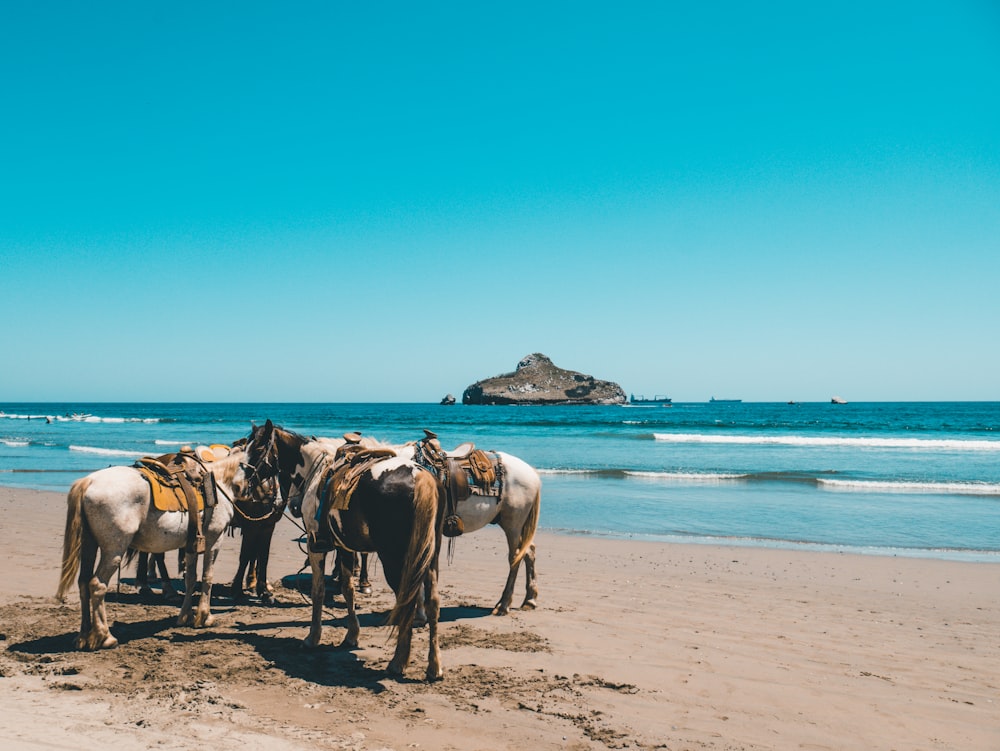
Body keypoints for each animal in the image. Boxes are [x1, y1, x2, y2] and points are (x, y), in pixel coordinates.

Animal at [55, 450, 254, 648]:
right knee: (97, 585)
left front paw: (186, 616)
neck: (218, 483)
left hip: (89, 545)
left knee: (83, 583)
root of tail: (88, 481)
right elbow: (207, 577)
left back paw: (83, 636)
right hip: (113, 551)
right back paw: (105, 637)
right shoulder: (214, 539)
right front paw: (205, 617)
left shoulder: (191, 544)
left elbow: (190, 578)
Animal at [240, 420, 444, 684]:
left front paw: (312, 637)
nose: (244, 483)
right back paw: (434, 666)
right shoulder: (345, 547)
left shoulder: (316, 545)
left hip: (395, 559)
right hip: (429, 557)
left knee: (406, 600)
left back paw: (398, 662)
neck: (315, 471)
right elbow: (348, 590)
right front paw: (351, 635)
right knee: (432, 603)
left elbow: (318, 591)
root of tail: (421, 477)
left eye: (257, 449)